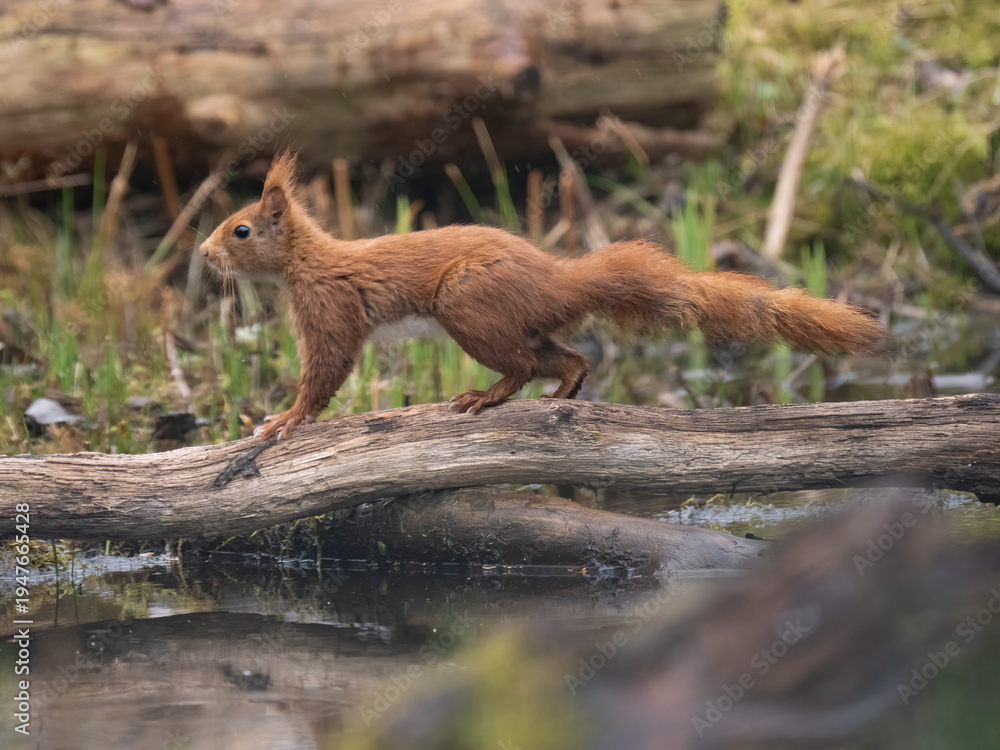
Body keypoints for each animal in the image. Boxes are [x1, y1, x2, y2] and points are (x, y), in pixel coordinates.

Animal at [200, 152, 883, 439]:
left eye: (240, 229)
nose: (202, 253)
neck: (307, 264)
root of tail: (555, 275)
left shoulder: (330, 308)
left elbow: (325, 372)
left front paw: (284, 421)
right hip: (511, 320)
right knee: (566, 356)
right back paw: (564, 393)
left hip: (467, 305)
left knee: (524, 363)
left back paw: (482, 396)